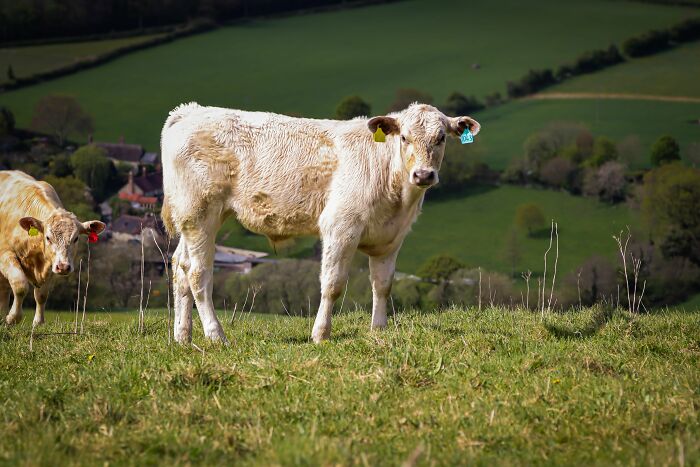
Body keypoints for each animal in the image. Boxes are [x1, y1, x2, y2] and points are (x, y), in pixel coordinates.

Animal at [0, 171, 106, 325]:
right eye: (48, 237)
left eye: (76, 238)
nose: (63, 267)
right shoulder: (5, 254)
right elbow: (20, 286)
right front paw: (13, 318)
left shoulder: (50, 264)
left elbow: (41, 295)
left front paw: (38, 322)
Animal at [161, 102, 480, 344]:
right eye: (404, 137)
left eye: (441, 138)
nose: (423, 175)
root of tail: (189, 111)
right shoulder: (340, 227)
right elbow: (333, 284)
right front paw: (320, 334)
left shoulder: (390, 239)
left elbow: (382, 285)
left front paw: (378, 331)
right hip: (200, 215)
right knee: (198, 274)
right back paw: (216, 336)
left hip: (190, 219)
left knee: (180, 266)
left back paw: (182, 337)